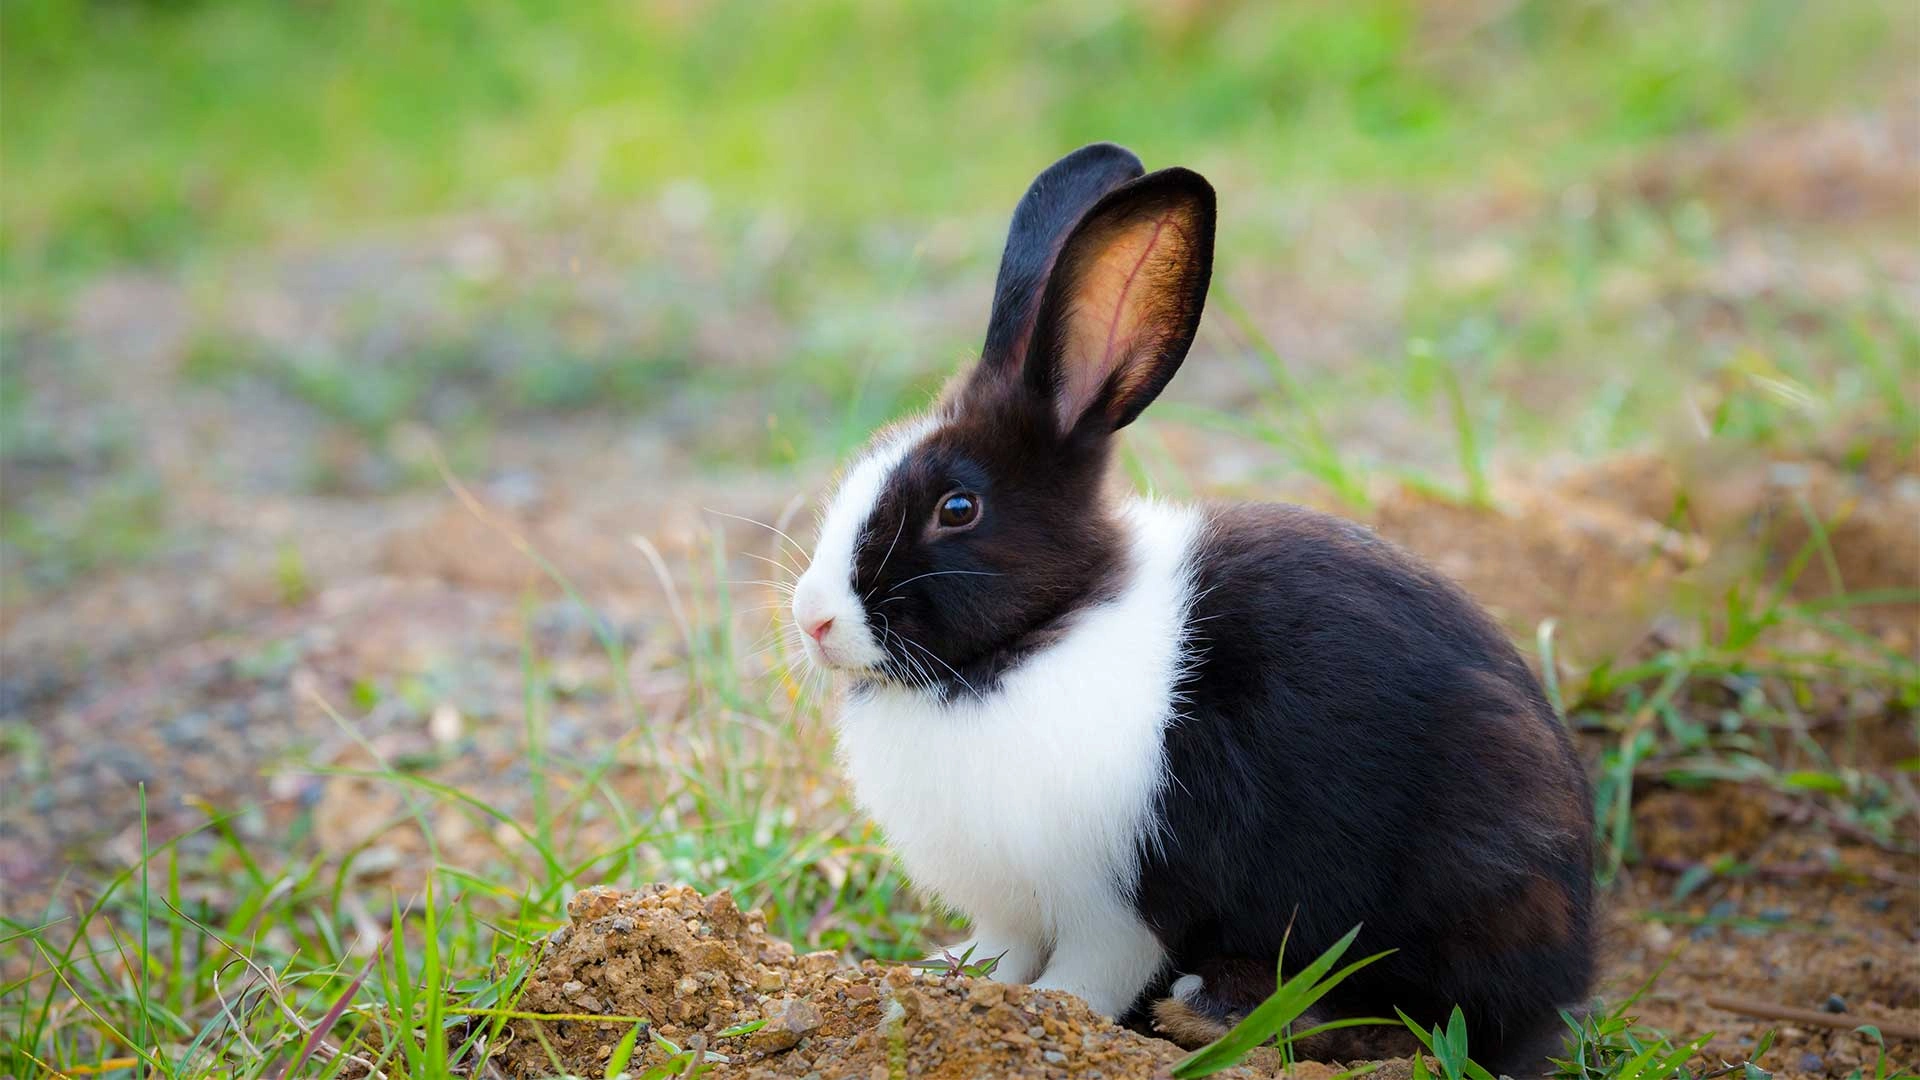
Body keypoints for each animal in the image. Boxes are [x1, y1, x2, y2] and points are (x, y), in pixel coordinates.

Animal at [789, 143, 1594, 1076]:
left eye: (957, 509)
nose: (813, 620)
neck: (1038, 638)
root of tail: (1576, 956)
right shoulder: (1011, 905)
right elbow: (1001, 951)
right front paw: (947, 979)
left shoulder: (1123, 897)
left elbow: (1092, 970)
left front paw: (1054, 1012)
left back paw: (1211, 1013)